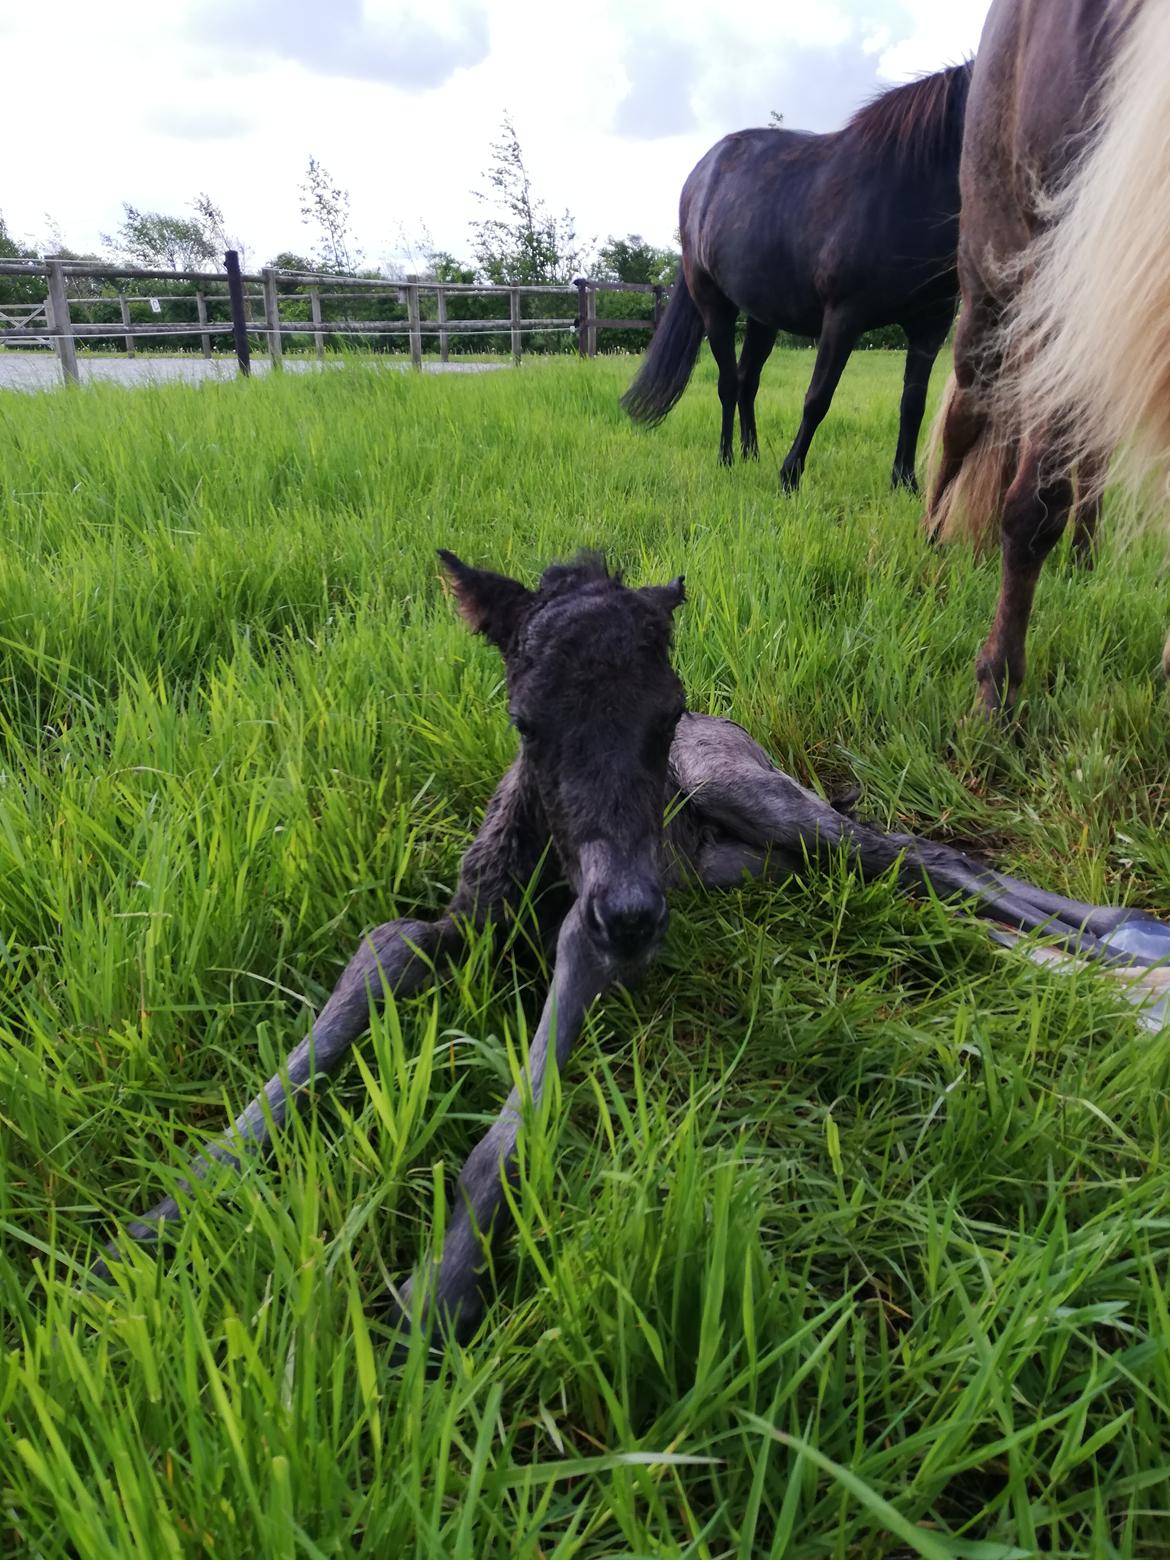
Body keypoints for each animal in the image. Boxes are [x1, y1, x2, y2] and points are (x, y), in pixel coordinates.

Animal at [96, 558, 1166, 1341]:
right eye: (525, 721)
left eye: (661, 712)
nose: (636, 914)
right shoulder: (463, 919)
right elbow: (383, 953)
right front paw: (157, 1219)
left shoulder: (606, 921)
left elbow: (529, 1080)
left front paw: (441, 1284)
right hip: (743, 864)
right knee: (868, 877)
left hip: (748, 795)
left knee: (909, 851)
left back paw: (1130, 946)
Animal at [624, 63, 973, 489]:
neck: (909, 190)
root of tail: (701, 174)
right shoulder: (843, 317)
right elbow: (817, 397)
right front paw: (790, 475)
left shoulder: (931, 325)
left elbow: (913, 404)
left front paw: (904, 482)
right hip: (714, 306)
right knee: (728, 383)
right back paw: (726, 458)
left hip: (762, 317)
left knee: (747, 381)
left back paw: (751, 454)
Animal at [923, 0, 1166, 714]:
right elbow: (1032, 508)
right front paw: (996, 696)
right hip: (991, 302)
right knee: (963, 427)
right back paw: (932, 542)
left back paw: (1085, 561)